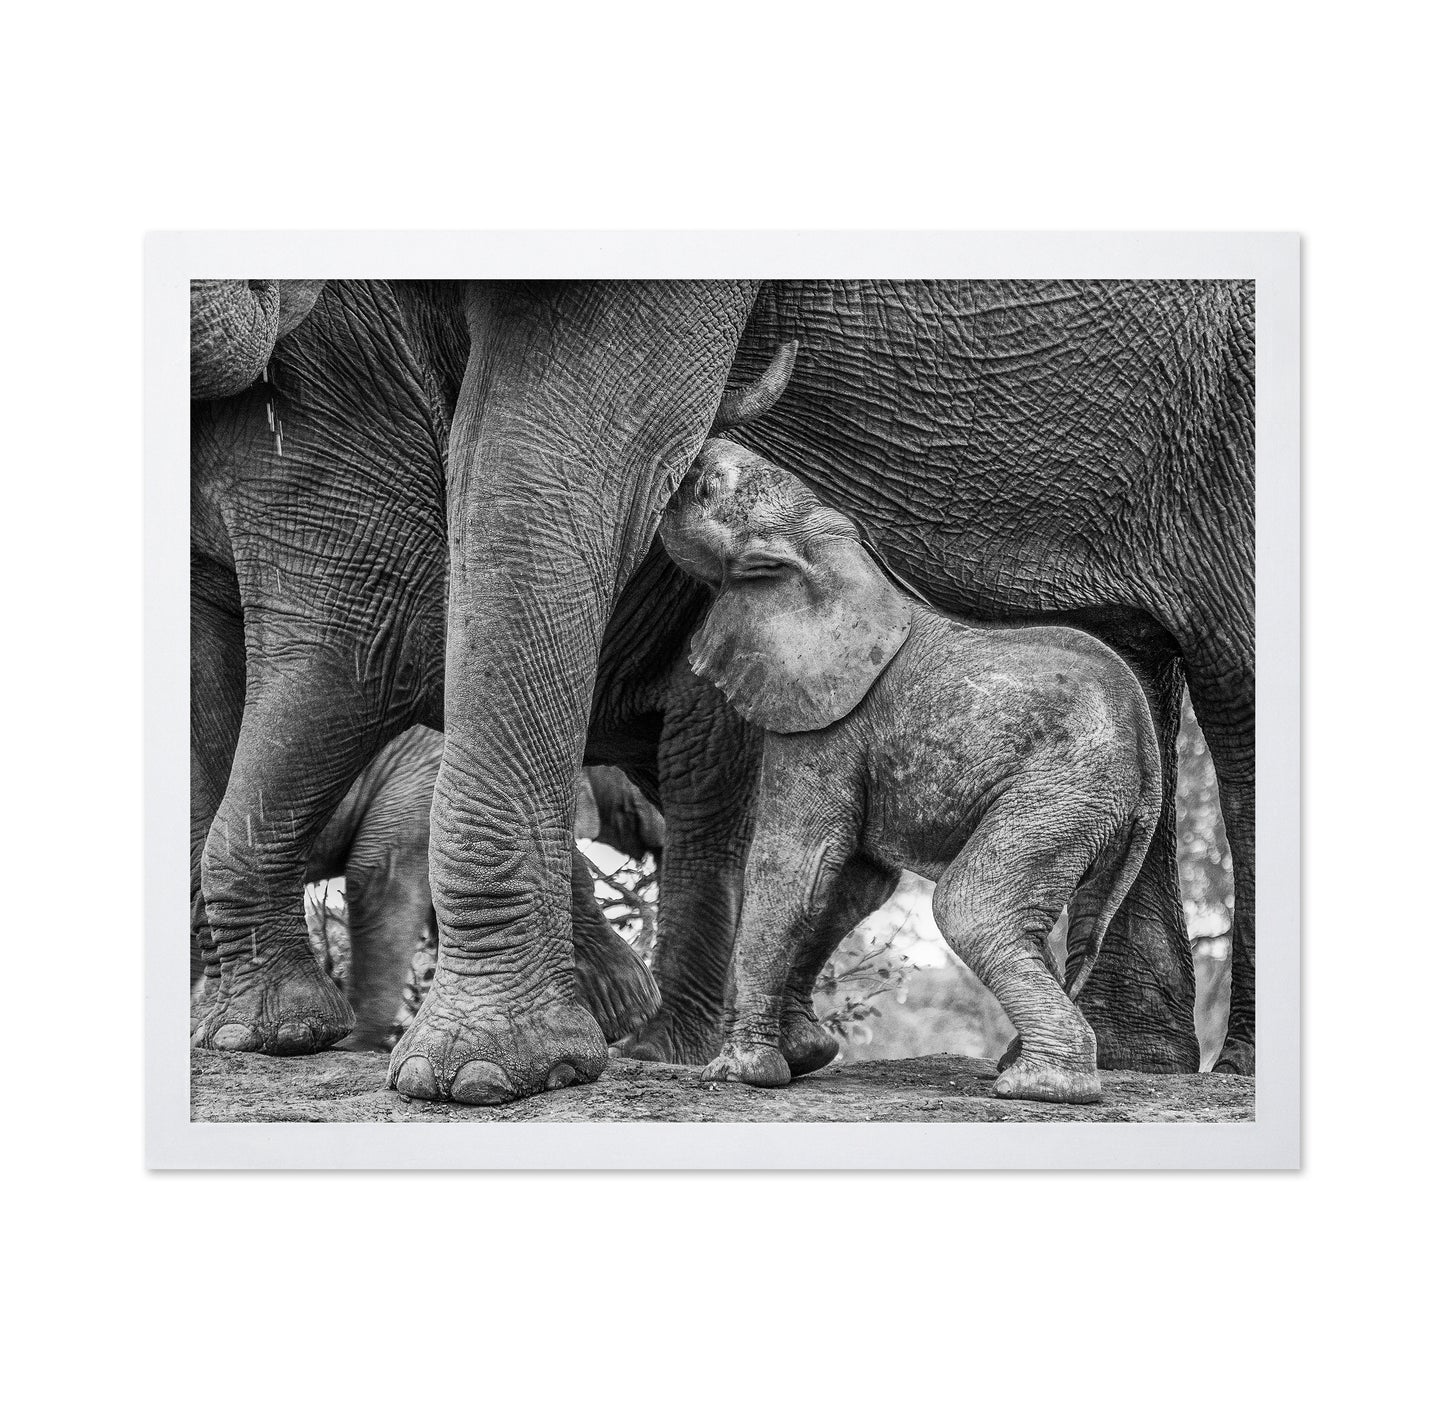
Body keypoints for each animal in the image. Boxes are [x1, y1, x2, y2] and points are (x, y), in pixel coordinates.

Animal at [660, 440, 1162, 1104]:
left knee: (971, 907)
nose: (694, 454)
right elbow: (851, 884)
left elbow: (797, 866)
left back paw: (1037, 1085)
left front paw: (739, 1074)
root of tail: (1150, 758)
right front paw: (805, 1055)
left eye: (707, 487)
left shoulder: (830, 721)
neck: (830, 549)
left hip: (1061, 791)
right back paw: (1020, 1066)